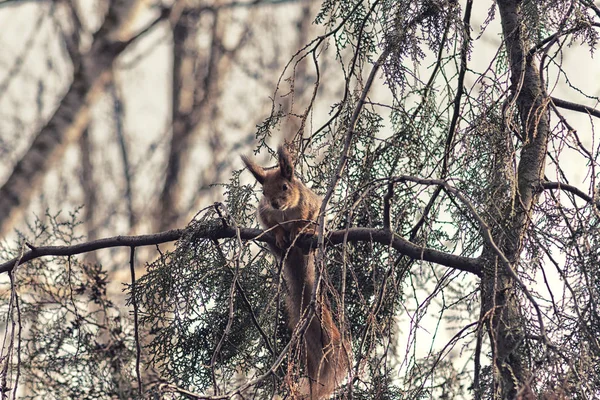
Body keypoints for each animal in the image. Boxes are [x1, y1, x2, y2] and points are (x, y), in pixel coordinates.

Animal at [241, 145, 350, 398]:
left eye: (284, 186)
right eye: (263, 191)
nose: (274, 203)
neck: (285, 212)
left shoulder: (311, 206)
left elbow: (307, 219)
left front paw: (299, 229)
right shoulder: (265, 216)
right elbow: (273, 227)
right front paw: (281, 234)